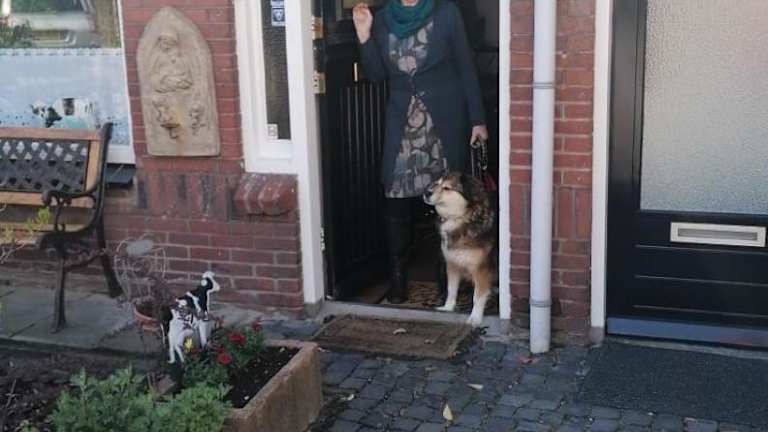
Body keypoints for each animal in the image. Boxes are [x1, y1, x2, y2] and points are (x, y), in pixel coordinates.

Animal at [424, 172, 495, 327]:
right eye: (437, 183)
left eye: (447, 188)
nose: (426, 193)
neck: (459, 218)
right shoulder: (452, 264)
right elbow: (451, 289)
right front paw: (448, 307)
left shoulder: (482, 270)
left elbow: (478, 296)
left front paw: (475, 318)